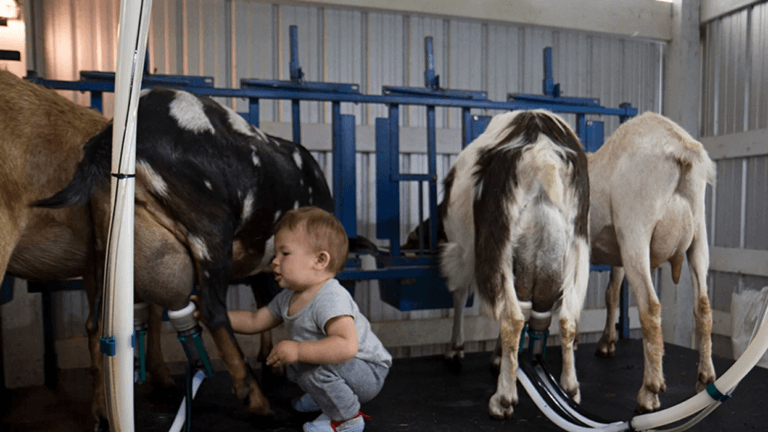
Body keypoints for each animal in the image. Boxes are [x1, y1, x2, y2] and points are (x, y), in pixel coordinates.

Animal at [438, 109, 592, 418]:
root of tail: (543, 156)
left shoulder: (463, 250)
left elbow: (459, 294)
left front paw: (455, 350)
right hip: (574, 250)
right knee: (566, 317)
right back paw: (570, 389)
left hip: (494, 245)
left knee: (511, 316)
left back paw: (503, 399)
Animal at [592, 111, 716, 412]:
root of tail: (680, 146)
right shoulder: (616, 253)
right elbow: (611, 293)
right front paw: (607, 342)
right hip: (698, 234)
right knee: (703, 306)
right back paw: (705, 378)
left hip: (635, 230)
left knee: (650, 307)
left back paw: (649, 391)